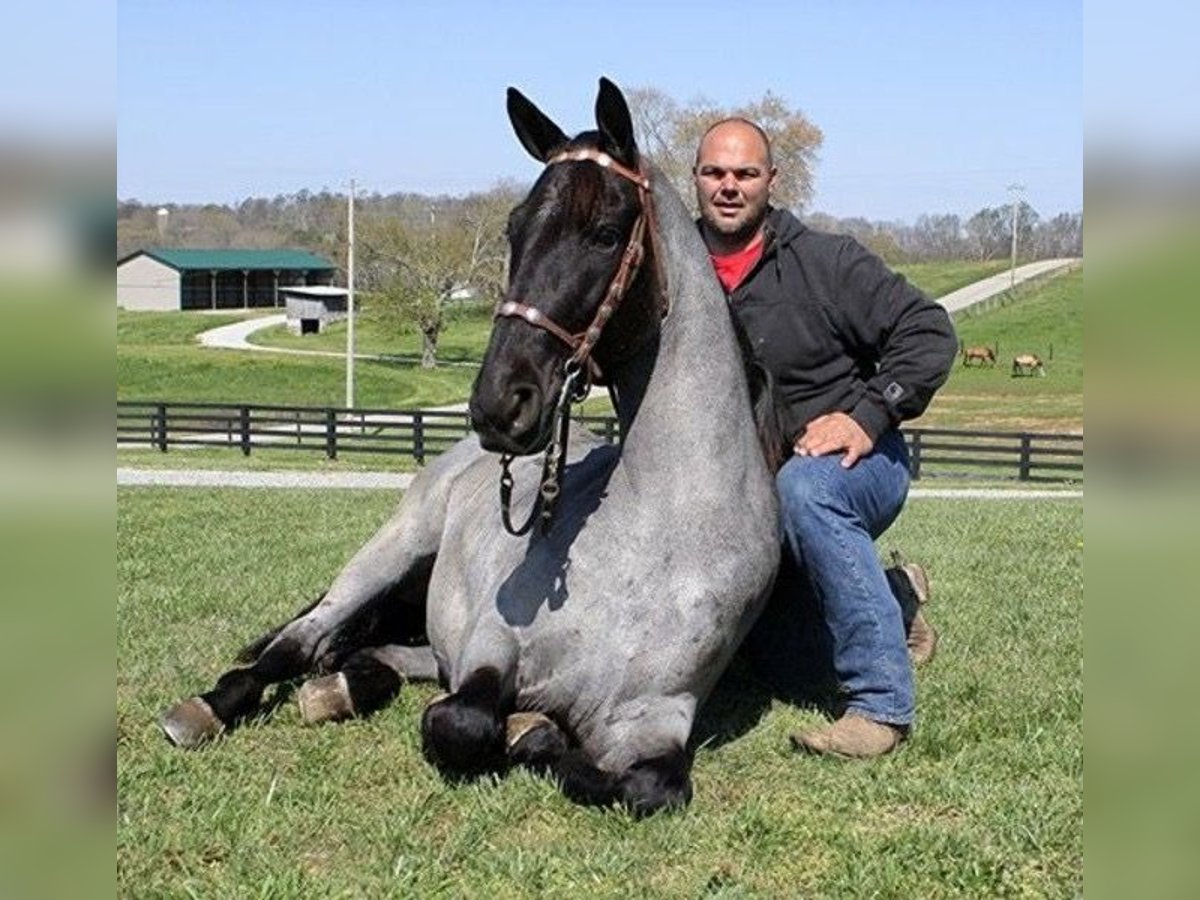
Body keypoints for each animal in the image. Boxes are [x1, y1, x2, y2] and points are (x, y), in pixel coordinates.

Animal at [157, 79, 777, 816]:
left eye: (603, 234)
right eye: (514, 229)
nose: (498, 403)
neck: (660, 535)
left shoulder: (654, 720)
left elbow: (644, 786)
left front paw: (533, 730)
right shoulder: (490, 647)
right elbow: (463, 722)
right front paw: (520, 728)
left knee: (366, 655)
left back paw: (343, 687)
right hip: (392, 550)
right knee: (299, 643)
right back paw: (207, 709)